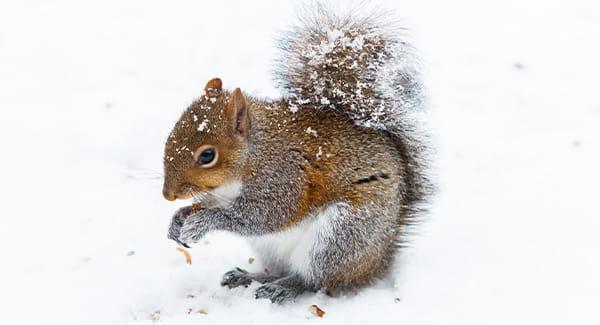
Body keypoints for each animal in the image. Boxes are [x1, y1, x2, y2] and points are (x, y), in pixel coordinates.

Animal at [162, 4, 428, 304]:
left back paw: (285, 287)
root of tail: (380, 261)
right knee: (283, 269)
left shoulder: (284, 177)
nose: (168, 195)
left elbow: (264, 215)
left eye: (207, 156)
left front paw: (204, 222)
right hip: (274, 247)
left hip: (340, 237)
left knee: (314, 280)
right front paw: (178, 219)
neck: (253, 155)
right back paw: (252, 277)